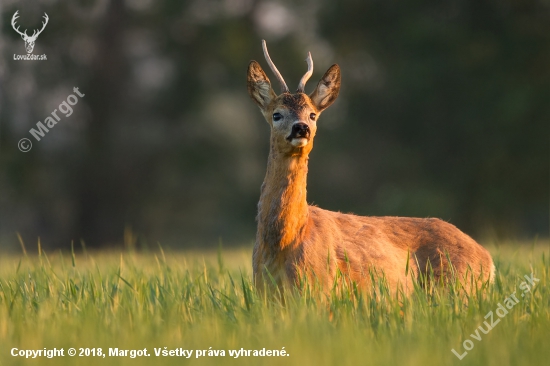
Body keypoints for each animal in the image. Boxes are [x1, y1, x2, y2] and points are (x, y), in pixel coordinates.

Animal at [248, 40, 498, 294]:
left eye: (312, 115)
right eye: (276, 114)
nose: (301, 128)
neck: (287, 241)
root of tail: (488, 259)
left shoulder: (322, 289)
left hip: (457, 285)